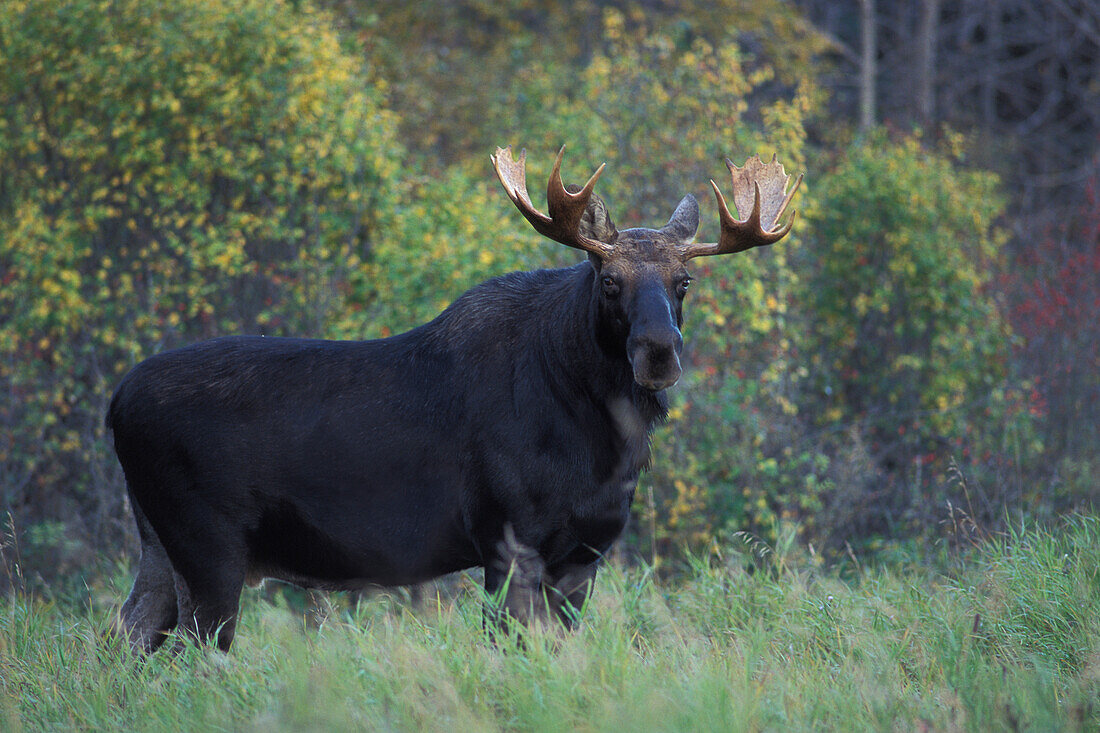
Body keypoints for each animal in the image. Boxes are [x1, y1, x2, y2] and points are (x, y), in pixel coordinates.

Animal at [109, 144, 800, 651]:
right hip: (209, 548)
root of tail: (113, 407)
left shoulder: (585, 555)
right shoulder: (507, 540)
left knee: (128, 637)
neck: (600, 444)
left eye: (684, 281)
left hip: (160, 547)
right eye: (608, 280)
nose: (659, 351)